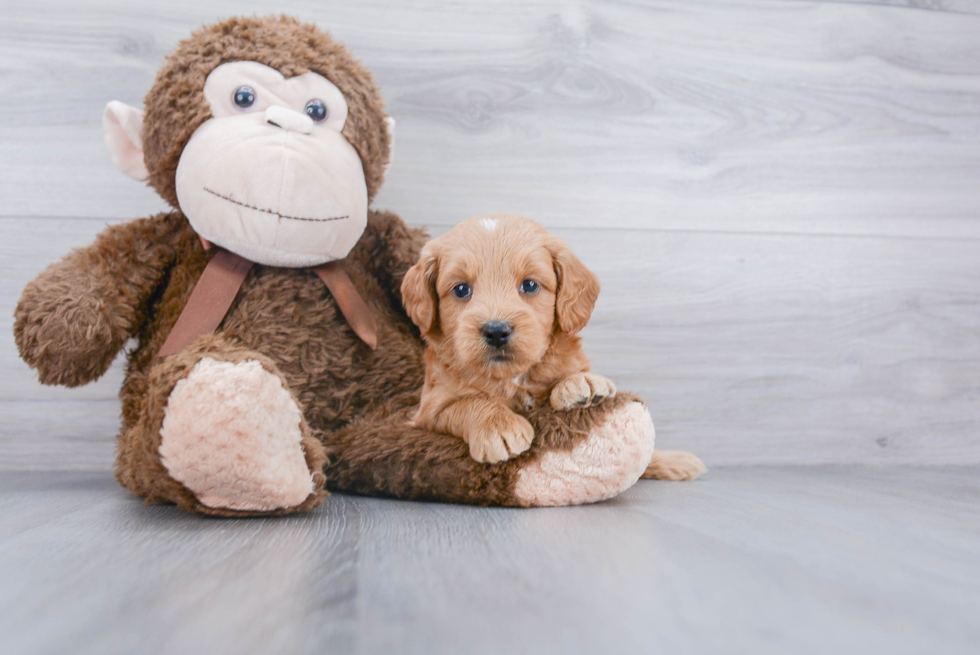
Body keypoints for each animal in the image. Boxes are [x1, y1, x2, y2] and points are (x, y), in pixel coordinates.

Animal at [398, 213, 612, 464]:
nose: (496, 331)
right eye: (461, 289)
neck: (511, 376)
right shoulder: (430, 409)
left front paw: (580, 381)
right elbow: (468, 402)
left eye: (530, 285)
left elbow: (569, 369)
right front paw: (498, 427)